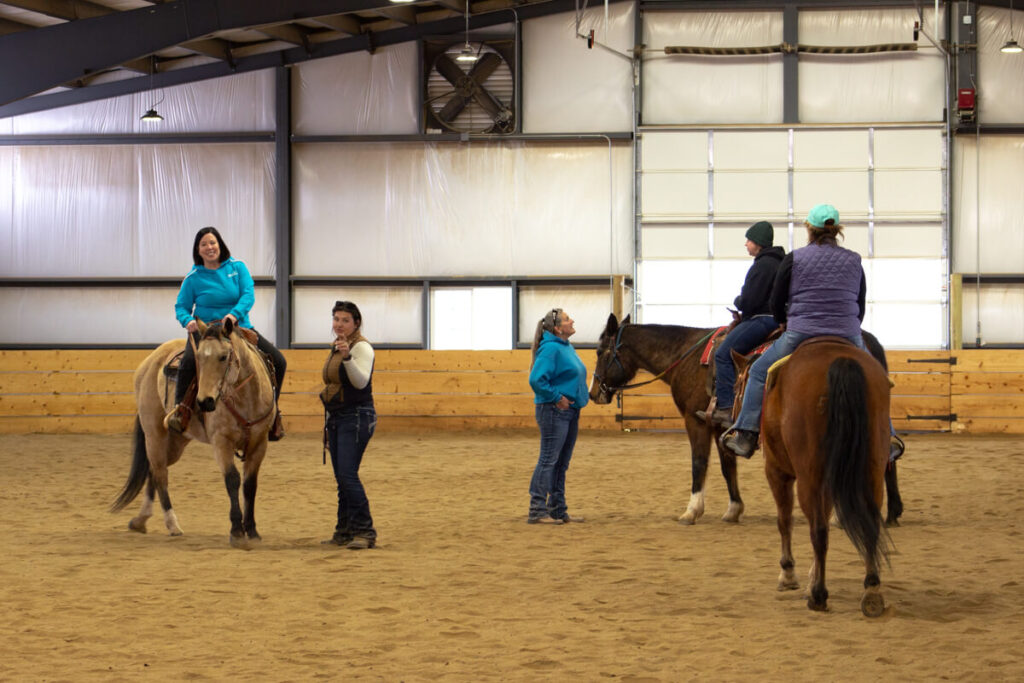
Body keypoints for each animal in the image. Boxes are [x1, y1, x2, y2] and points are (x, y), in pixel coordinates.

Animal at [111, 321, 276, 548]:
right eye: (198, 358)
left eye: (223, 356)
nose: (205, 401)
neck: (245, 398)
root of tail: (150, 359)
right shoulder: (221, 442)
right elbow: (232, 479)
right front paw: (236, 531)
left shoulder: (259, 444)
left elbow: (250, 484)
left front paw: (252, 531)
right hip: (154, 434)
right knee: (160, 474)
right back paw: (172, 524)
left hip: (176, 441)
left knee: (154, 470)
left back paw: (141, 520)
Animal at [585, 313, 745, 528]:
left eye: (600, 352)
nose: (592, 393)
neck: (687, 356)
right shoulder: (719, 425)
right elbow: (728, 466)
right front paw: (733, 509)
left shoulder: (696, 421)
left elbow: (699, 462)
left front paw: (692, 511)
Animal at [741, 339, 892, 618]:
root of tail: (841, 361)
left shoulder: (777, 471)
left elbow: (784, 521)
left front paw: (789, 575)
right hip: (872, 471)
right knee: (870, 524)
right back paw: (872, 591)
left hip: (808, 476)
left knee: (818, 530)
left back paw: (819, 596)